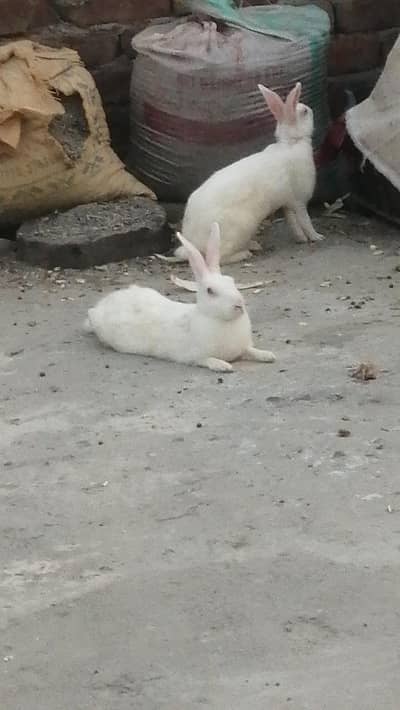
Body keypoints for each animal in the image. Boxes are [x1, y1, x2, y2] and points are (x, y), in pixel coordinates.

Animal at [84, 223, 276, 373]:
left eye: (232, 281)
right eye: (210, 291)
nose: (238, 305)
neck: (221, 320)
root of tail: (99, 307)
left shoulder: (243, 348)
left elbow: (251, 350)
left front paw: (268, 355)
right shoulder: (195, 356)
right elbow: (206, 360)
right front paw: (223, 366)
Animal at [161, 81, 323, 267]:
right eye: (304, 112)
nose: (310, 109)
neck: (292, 142)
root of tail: (193, 246)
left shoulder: (288, 204)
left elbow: (293, 223)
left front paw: (301, 239)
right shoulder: (299, 200)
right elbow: (305, 220)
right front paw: (317, 237)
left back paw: (254, 245)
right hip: (237, 230)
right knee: (219, 258)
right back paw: (245, 253)